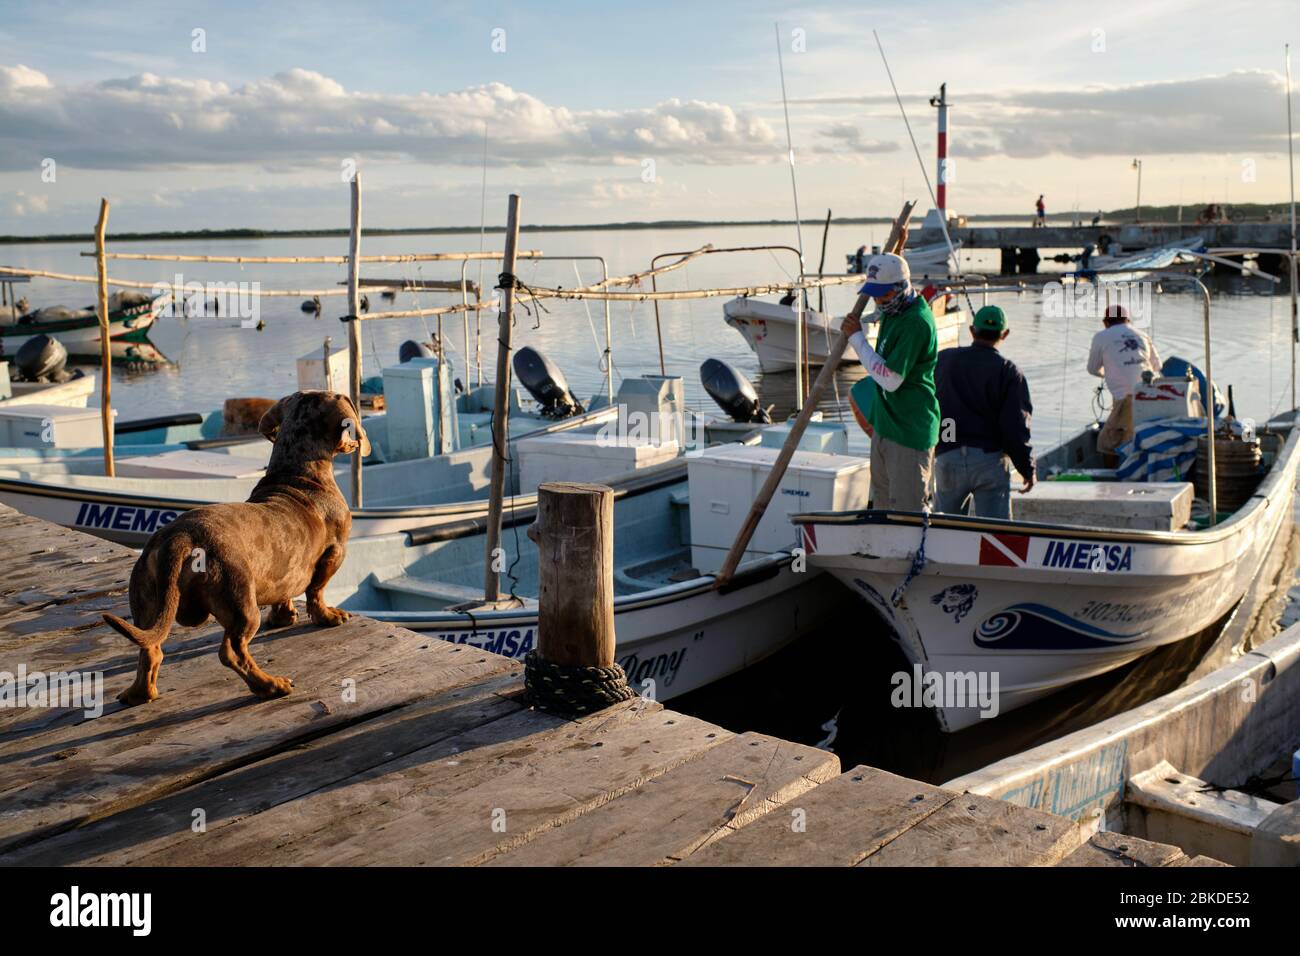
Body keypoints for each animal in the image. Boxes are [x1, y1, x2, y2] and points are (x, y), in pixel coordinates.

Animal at [104, 392, 371, 707]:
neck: (296, 473)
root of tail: (179, 537)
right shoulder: (335, 553)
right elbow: (316, 591)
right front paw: (329, 616)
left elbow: (284, 594)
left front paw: (283, 616)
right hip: (241, 602)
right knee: (231, 652)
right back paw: (270, 685)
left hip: (147, 604)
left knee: (151, 649)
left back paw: (139, 694)